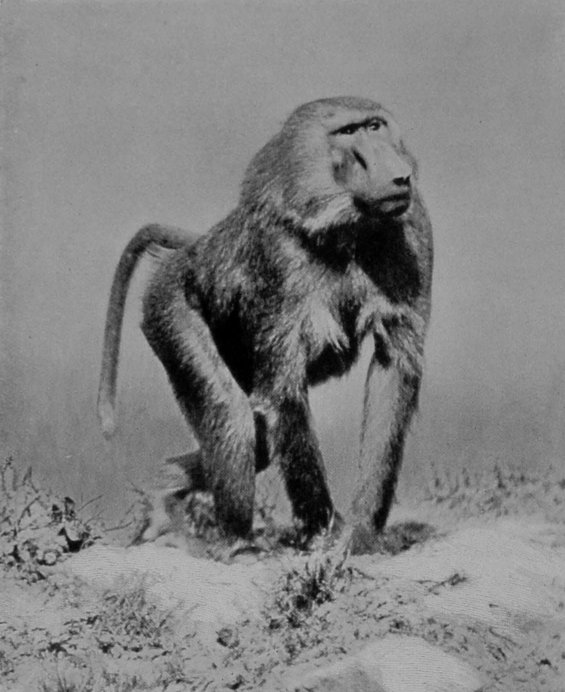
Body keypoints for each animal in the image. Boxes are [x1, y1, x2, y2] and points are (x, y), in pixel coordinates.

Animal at [97, 96, 433, 553]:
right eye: (348, 133)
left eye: (375, 126)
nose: (398, 174)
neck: (345, 226)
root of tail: (193, 249)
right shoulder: (275, 253)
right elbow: (284, 395)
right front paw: (322, 531)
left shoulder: (415, 229)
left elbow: (393, 374)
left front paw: (362, 533)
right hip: (167, 305)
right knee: (233, 416)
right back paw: (234, 544)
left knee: (258, 440)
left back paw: (165, 494)